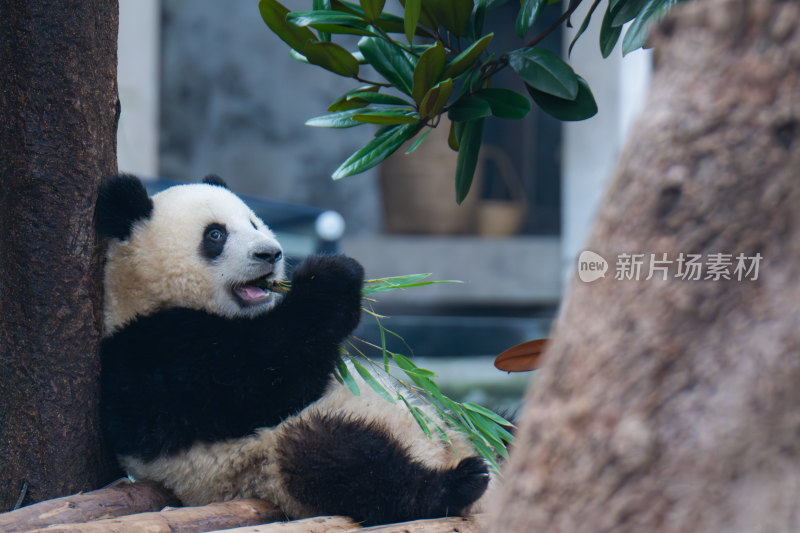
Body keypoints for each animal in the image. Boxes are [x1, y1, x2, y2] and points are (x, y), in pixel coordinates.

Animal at [96, 174, 490, 524]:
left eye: (254, 222)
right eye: (215, 234)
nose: (270, 253)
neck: (141, 293)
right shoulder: (152, 355)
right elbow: (265, 380)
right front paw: (331, 274)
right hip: (274, 456)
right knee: (336, 460)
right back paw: (457, 484)